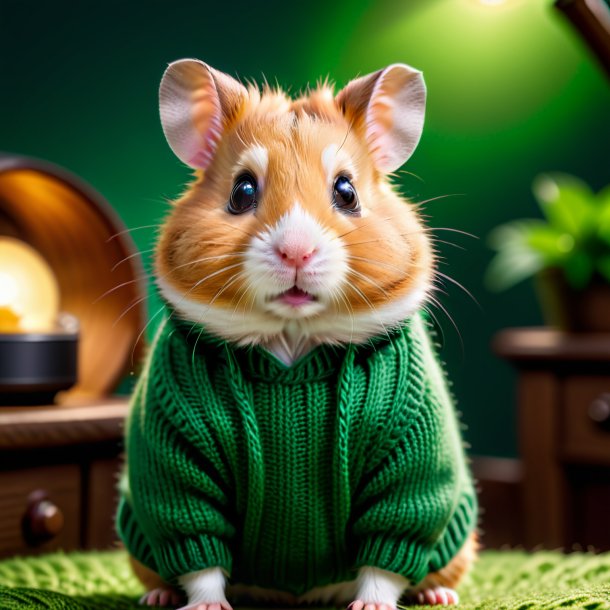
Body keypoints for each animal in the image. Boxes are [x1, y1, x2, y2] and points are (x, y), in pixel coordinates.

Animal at [116, 58, 478, 608]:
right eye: (242, 192)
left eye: (347, 192)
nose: (296, 252)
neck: (292, 339)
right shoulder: (174, 461)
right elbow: (199, 550)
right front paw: (208, 605)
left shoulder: (410, 464)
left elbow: (386, 554)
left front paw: (371, 605)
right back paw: (157, 598)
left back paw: (438, 596)